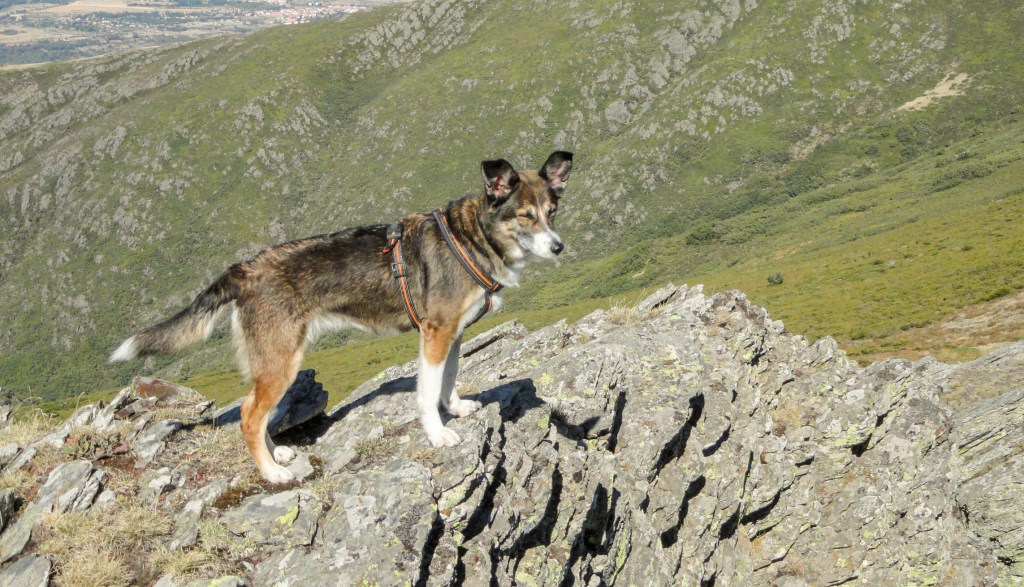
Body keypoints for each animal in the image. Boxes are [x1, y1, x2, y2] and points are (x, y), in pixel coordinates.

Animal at [112, 149, 577, 481]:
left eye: (552, 212)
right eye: (525, 217)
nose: (558, 247)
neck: (473, 237)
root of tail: (245, 269)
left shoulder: (453, 334)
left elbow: (447, 380)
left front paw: (456, 407)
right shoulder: (434, 333)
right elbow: (427, 393)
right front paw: (438, 433)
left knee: (255, 411)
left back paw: (277, 453)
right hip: (282, 360)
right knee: (247, 416)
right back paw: (273, 473)